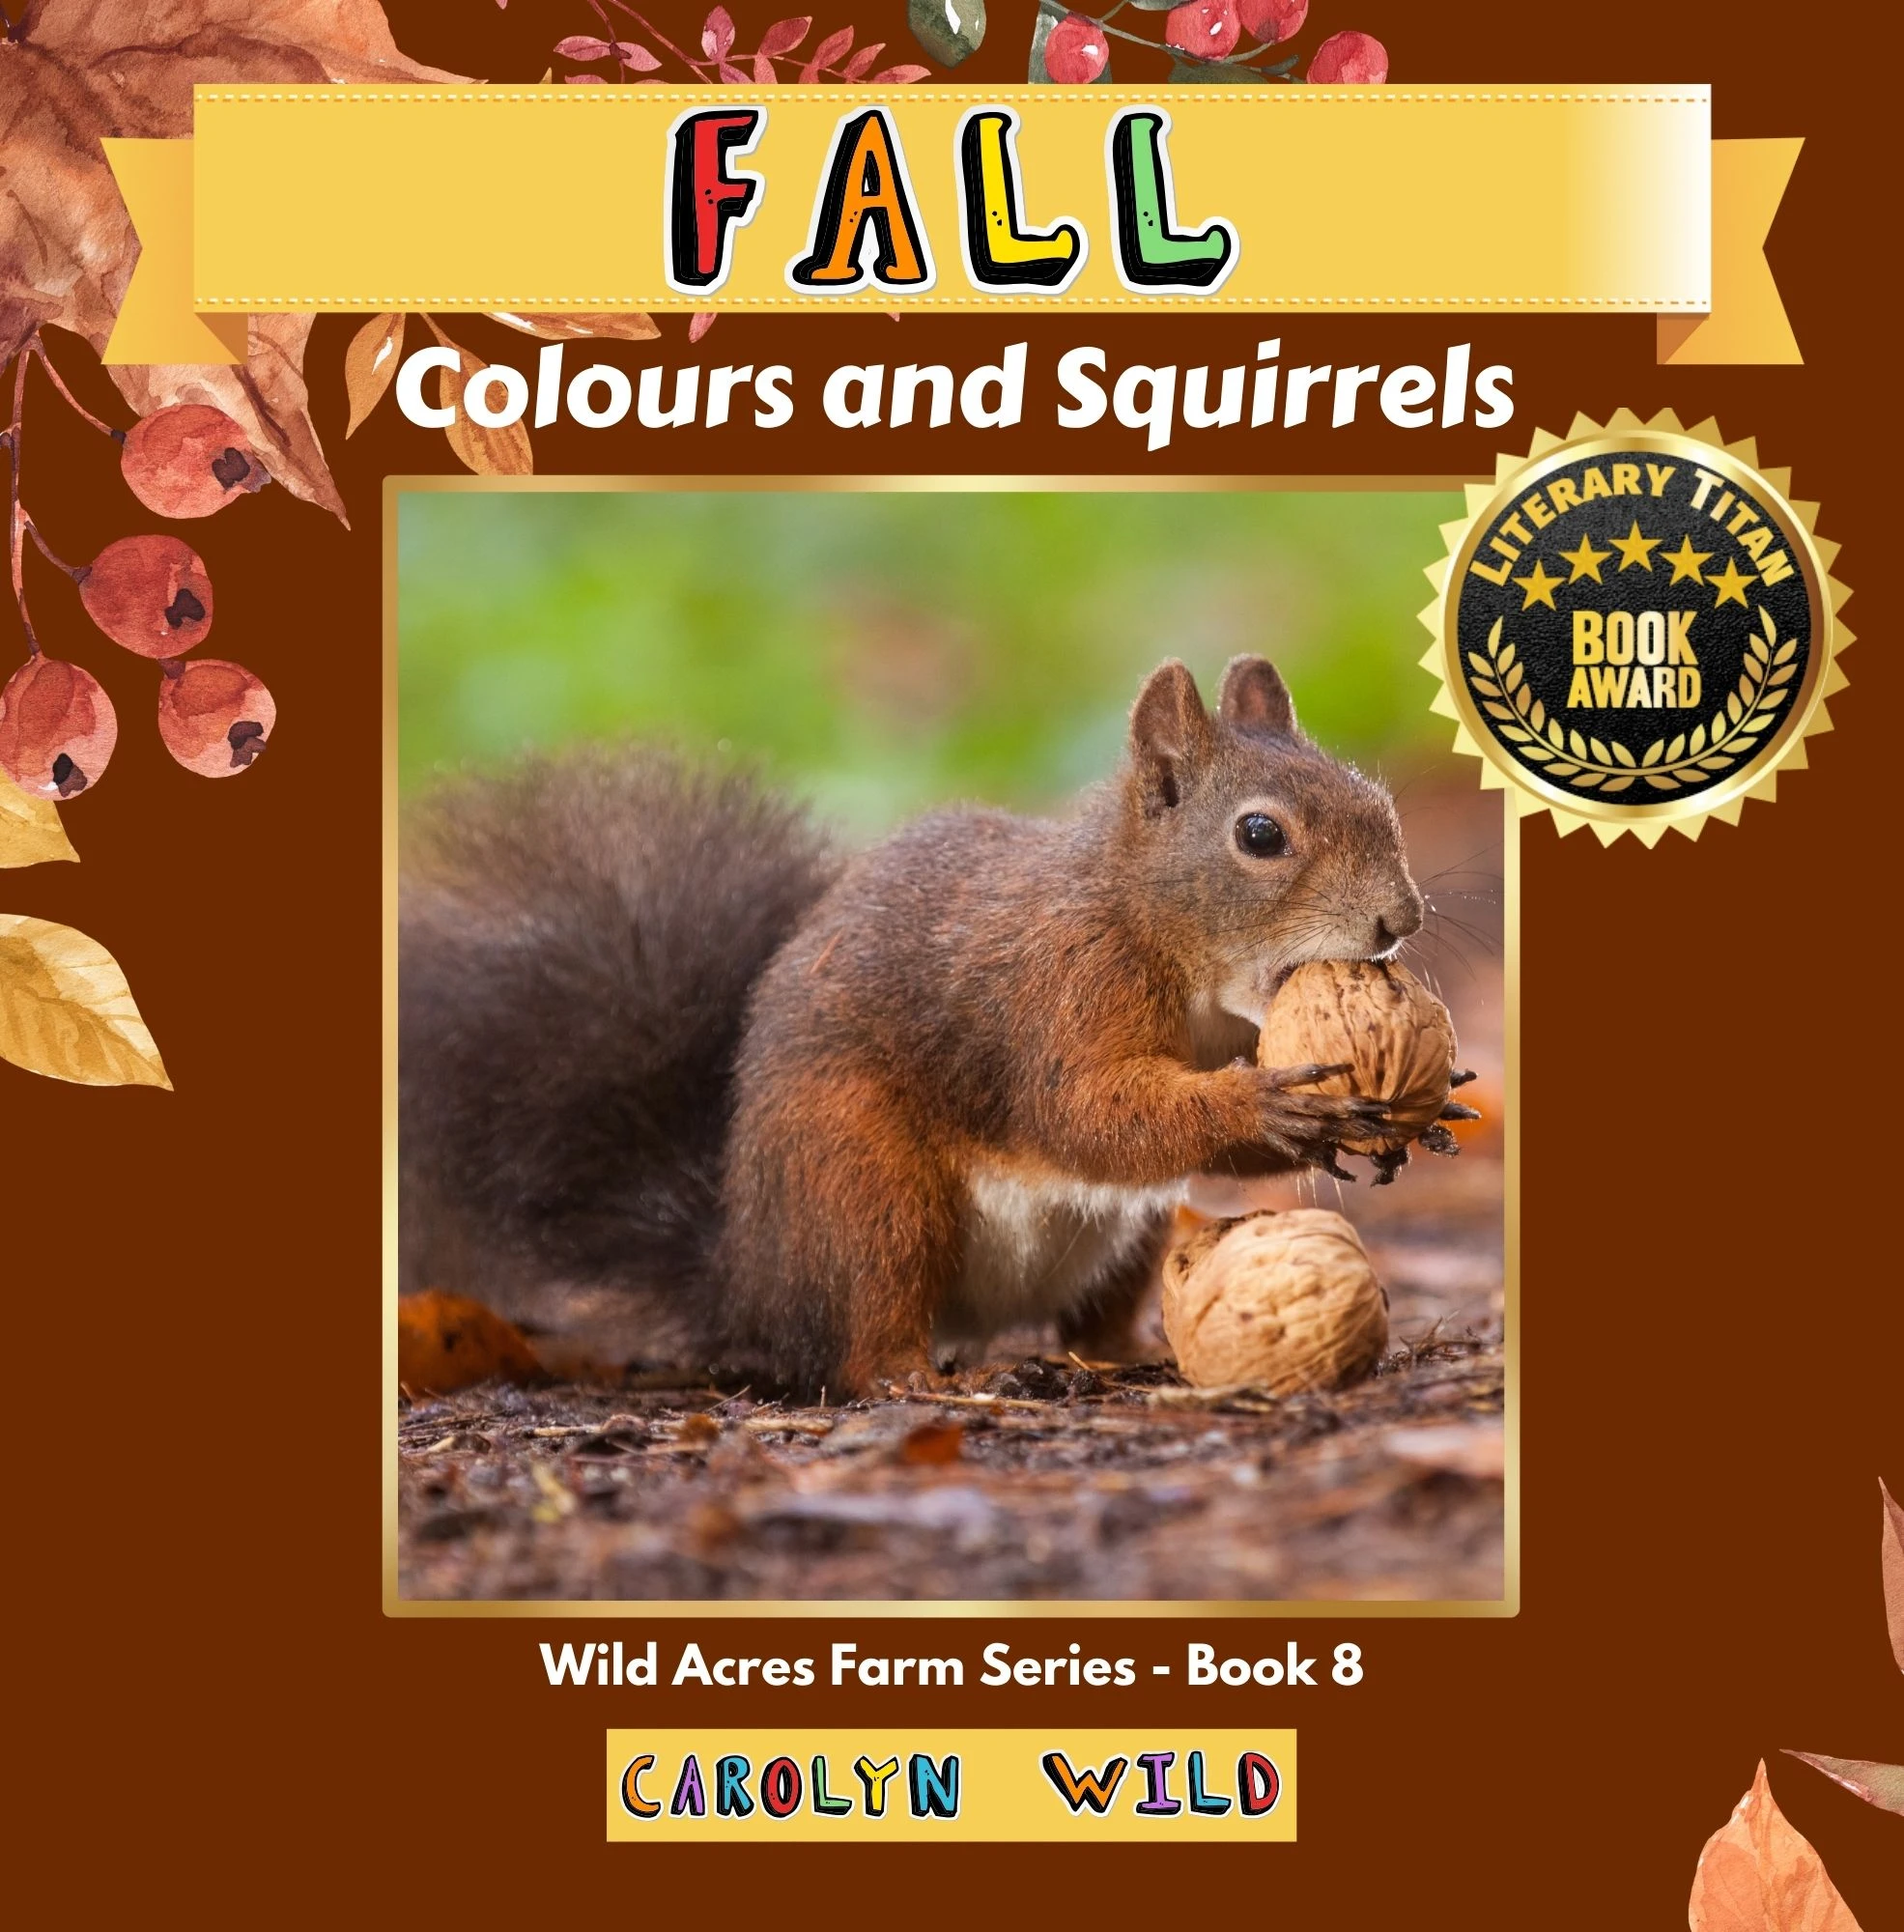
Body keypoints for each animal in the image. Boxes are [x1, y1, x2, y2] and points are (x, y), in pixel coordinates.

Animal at [399, 655, 1424, 1397]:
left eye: (1378, 800)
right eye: (1259, 836)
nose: (1400, 919)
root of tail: (748, 1275)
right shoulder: (1059, 991)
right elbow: (1084, 1113)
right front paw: (1269, 1110)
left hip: (1125, 1235)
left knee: (1092, 1314)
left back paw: (1130, 1351)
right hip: (863, 1187)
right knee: (864, 1328)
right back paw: (910, 1379)